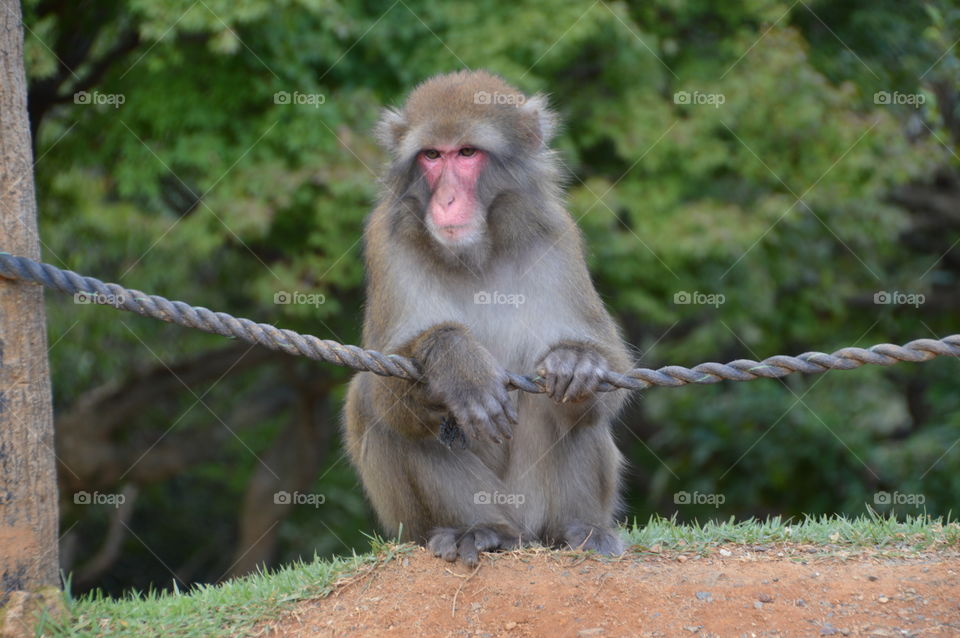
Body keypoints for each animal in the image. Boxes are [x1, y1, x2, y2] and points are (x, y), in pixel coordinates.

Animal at [343, 70, 632, 567]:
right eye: (432, 156)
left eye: (467, 153)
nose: (446, 199)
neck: (477, 253)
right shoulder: (387, 239)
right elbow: (381, 390)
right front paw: (456, 363)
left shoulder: (556, 235)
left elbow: (608, 377)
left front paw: (579, 360)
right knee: (380, 412)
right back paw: (479, 530)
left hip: (533, 502)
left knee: (577, 417)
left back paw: (580, 530)